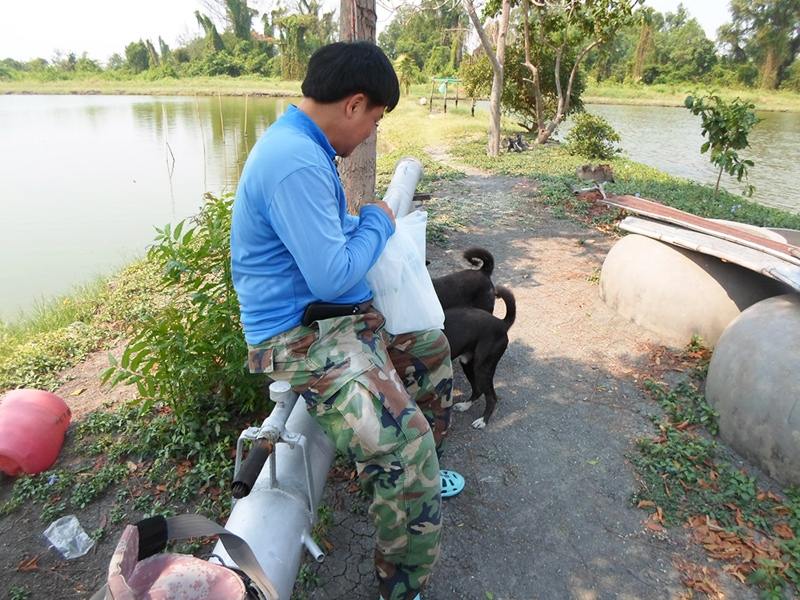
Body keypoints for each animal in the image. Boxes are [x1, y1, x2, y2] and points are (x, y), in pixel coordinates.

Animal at [440, 284, 516, 428]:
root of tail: (501, 323)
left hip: (482, 369)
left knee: (492, 397)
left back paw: (483, 420)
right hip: (468, 364)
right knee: (477, 389)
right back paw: (465, 406)